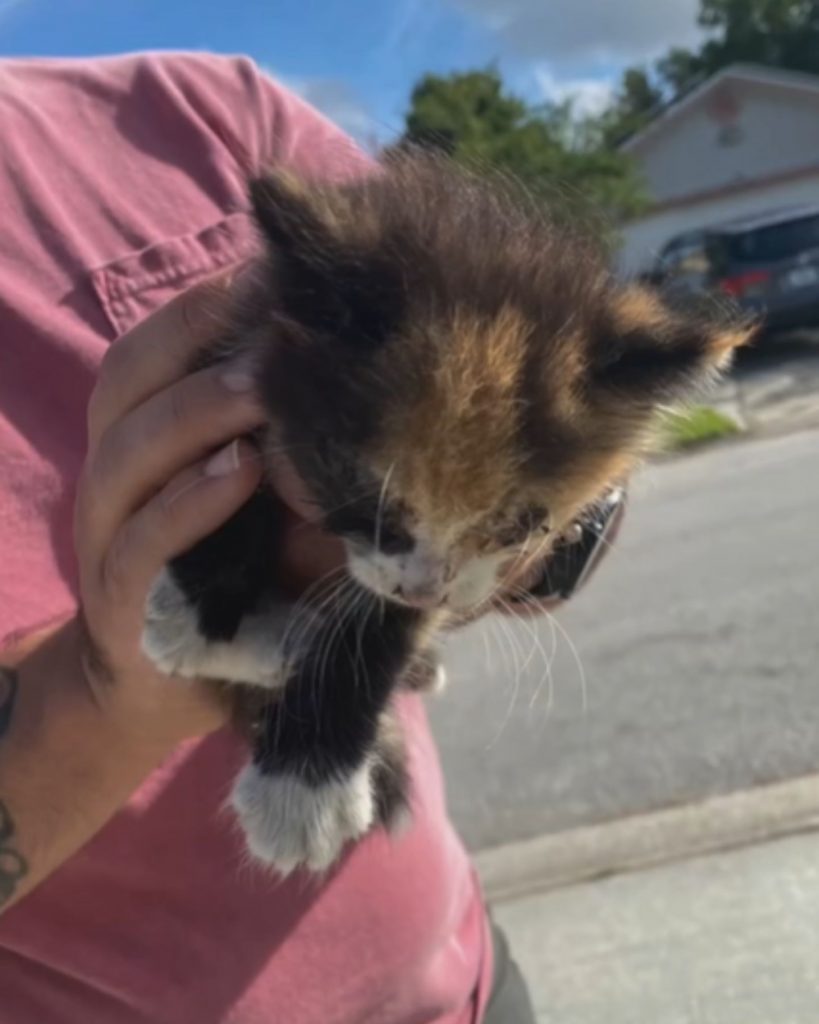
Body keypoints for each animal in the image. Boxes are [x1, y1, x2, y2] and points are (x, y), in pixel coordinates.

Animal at [141, 151, 753, 872]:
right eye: (357, 489)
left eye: (522, 524)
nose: (422, 587)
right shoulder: (229, 357)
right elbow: (223, 480)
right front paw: (214, 625)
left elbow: (379, 624)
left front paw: (303, 787)